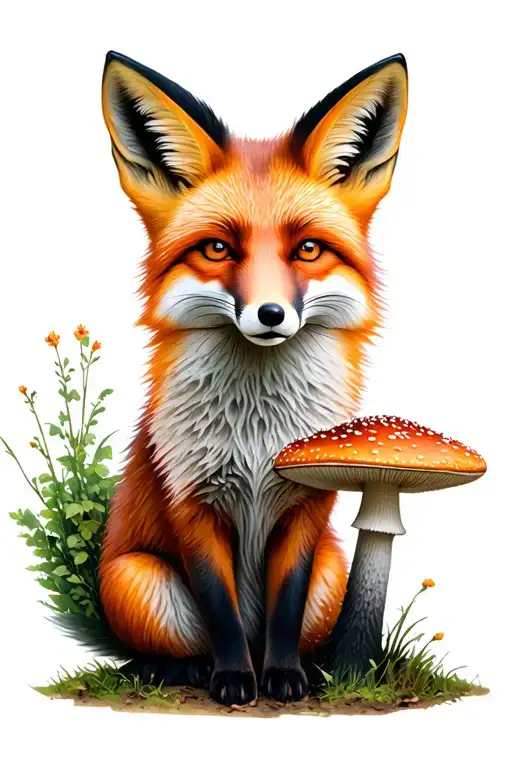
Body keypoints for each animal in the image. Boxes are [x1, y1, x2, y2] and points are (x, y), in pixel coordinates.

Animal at [91, 50, 408, 706]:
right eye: (217, 249)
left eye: (308, 249)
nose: (270, 314)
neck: (258, 439)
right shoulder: (191, 505)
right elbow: (222, 610)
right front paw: (236, 678)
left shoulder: (306, 508)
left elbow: (284, 607)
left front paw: (283, 675)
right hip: (139, 577)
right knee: (166, 650)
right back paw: (182, 670)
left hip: (333, 571)